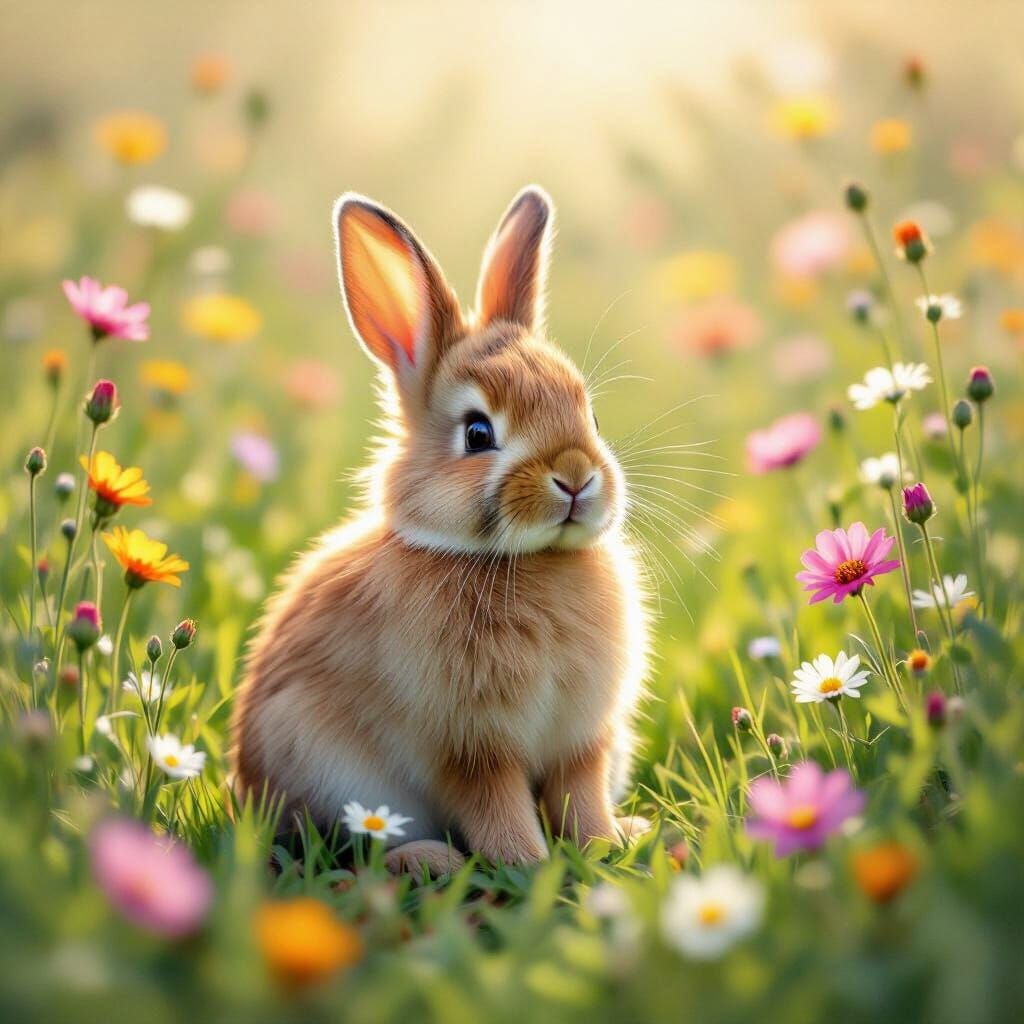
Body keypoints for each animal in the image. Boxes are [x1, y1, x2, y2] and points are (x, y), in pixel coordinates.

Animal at [231, 186, 649, 874]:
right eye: (478, 433)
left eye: (589, 414)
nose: (575, 477)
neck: (525, 560)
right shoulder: (470, 750)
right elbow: (496, 807)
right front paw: (525, 865)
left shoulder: (583, 741)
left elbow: (581, 800)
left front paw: (604, 851)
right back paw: (433, 862)